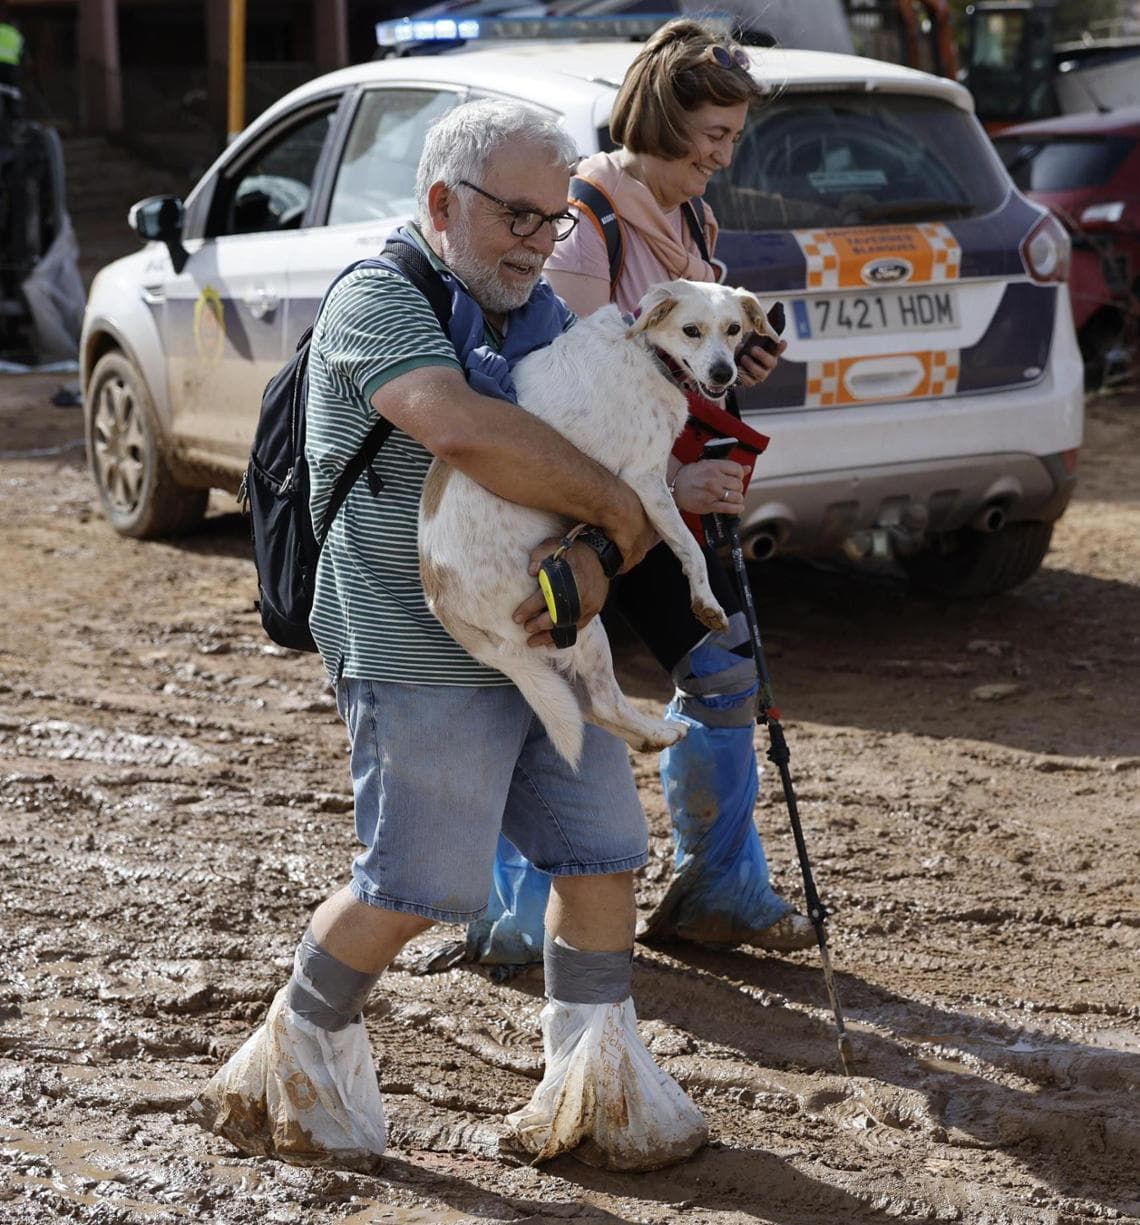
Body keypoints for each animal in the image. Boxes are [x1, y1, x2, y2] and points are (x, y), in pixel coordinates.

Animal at [416, 281, 773, 769]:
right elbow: (689, 548)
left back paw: (649, 738)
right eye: (691, 331)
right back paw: (660, 733)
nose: (723, 374)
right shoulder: (644, 480)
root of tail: (442, 599)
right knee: (602, 702)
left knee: (586, 706)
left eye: (734, 329)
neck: (647, 352)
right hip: (577, 617)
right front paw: (706, 603)